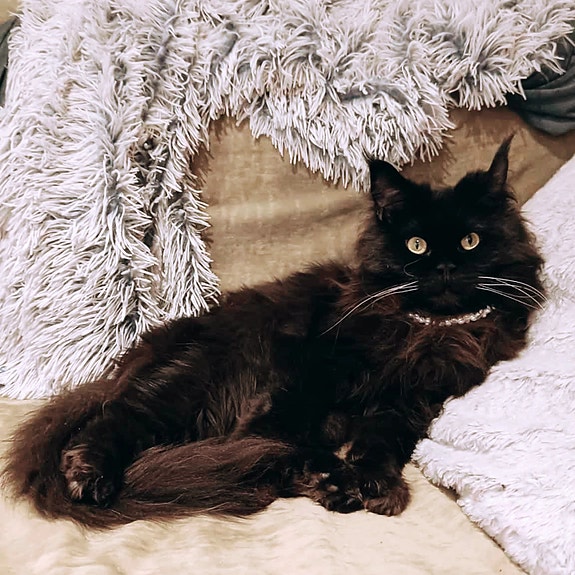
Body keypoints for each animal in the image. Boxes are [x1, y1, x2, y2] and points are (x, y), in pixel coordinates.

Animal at [4, 136, 545, 528]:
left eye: (470, 240)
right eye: (416, 245)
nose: (446, 268)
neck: (423, 329)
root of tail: (123, 369)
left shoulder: (412, 400)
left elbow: (382, 441)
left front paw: (373, 483)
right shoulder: (310, 372)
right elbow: (271, 433)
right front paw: (335, 476)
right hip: (192, 381)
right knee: (117, 420)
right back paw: (92, 474)